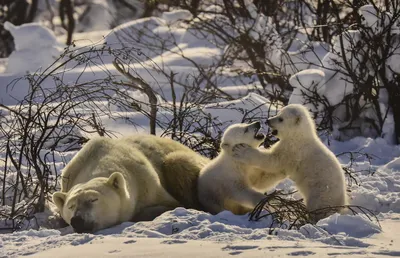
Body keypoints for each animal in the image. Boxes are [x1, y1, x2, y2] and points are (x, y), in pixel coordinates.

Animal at [52, 134, 208, 233]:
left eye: (93, 199)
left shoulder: (148, 183)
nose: (77, 220)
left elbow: (170, 203)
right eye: (71, 206)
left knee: (178, 162)